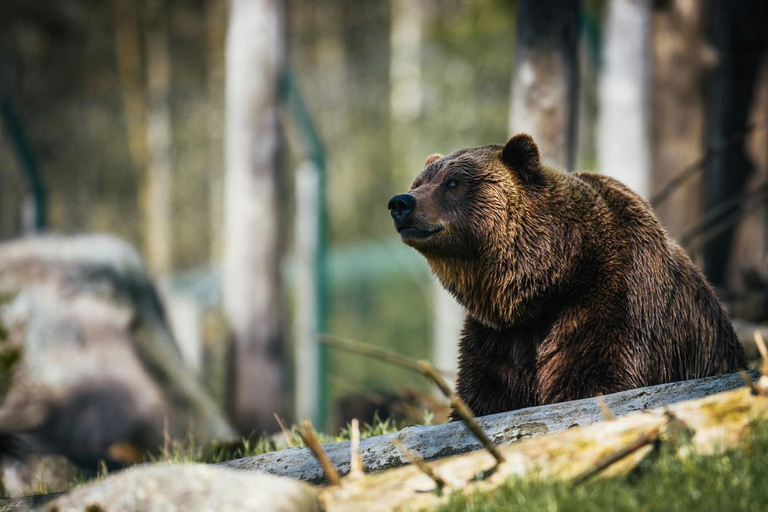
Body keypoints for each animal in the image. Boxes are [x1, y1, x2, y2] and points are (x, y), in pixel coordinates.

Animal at [388, 134, 748, 418]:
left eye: (453, 182)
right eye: (419, 183)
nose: (401, 202)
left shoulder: (612, 305)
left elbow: (594, 380)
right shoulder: (498, 337)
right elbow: (485, 394)